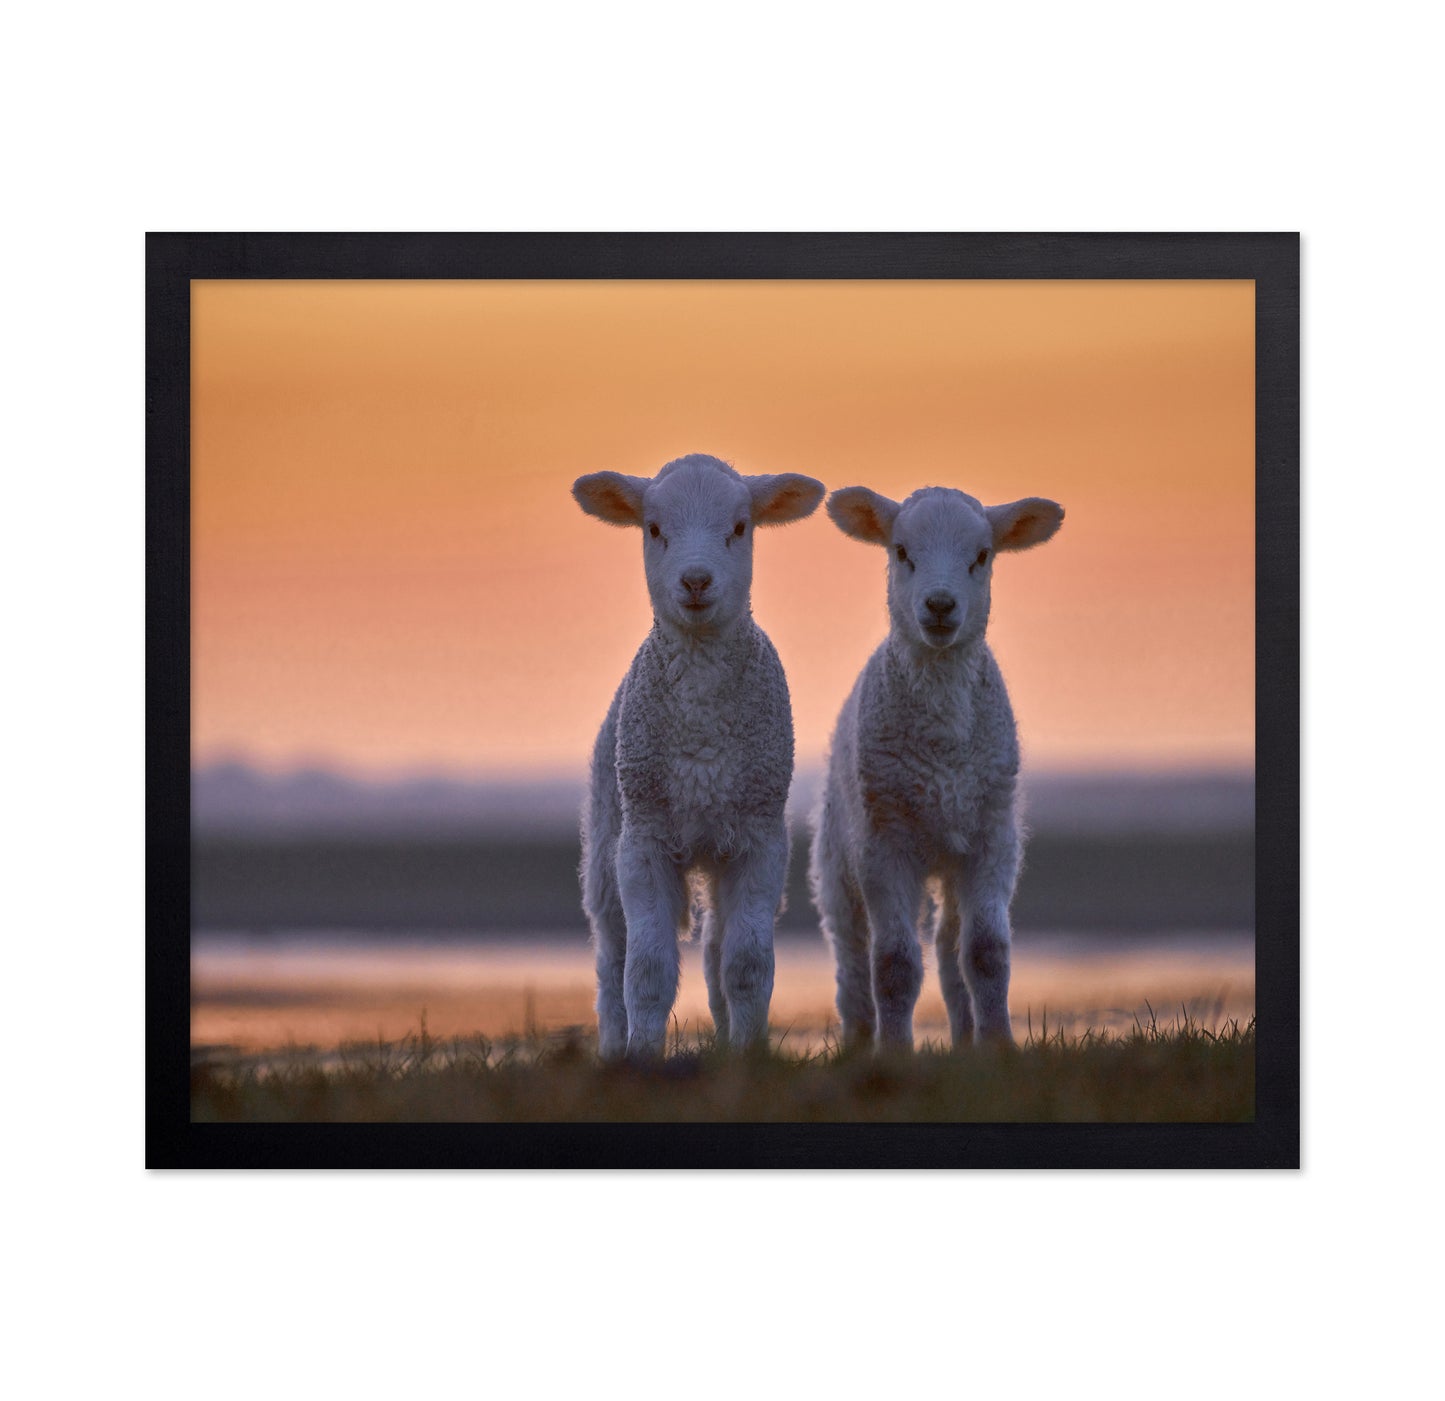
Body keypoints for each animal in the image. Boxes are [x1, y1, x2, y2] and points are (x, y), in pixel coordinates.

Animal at [573, 453, 825, 1059]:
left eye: (739, 527)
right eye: (653, 529)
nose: (695, 580)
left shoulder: (760, 839)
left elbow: (747, 966)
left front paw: (749, 1055)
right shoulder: (643, 841)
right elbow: (646, 970)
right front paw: (642, 1057)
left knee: (714, 951)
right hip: (606, 841)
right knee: (610, 959)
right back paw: (612, 1047)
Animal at [809, 484, 1064, 1052]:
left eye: (982, 556)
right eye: (901, 551)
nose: (941, 605)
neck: (943, 748)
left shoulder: (993, 837)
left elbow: (986, 954)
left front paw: (999, 1047)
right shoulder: (884, 844)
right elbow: (894, 964)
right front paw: (894, 1052)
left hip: (952, 855)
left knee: (950, 948)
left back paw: (966, 1039)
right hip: (838, 855)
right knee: (851, 955)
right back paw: (859, 1040)